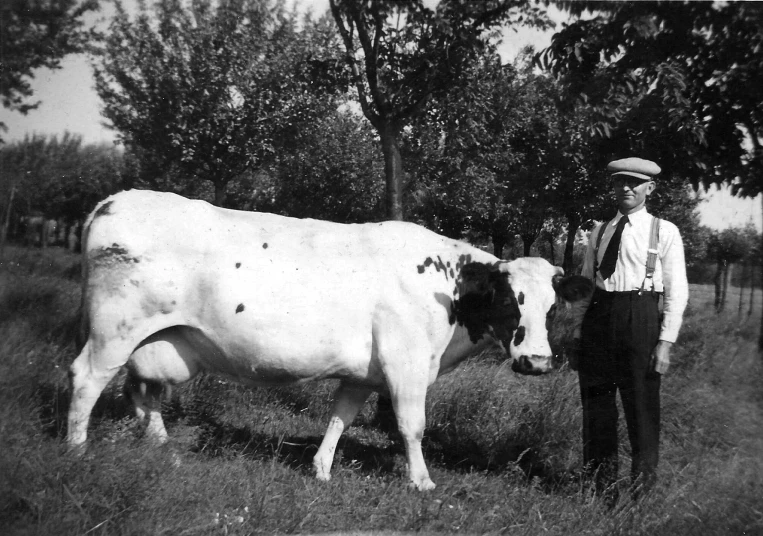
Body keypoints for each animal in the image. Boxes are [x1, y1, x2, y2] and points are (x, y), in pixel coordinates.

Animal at [67, 189, 592, 490]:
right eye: (508, 300)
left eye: (552, 307)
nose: (537, 362)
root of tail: (115, 199)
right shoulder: (405, 364)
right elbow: (412, 427)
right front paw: (421, 482)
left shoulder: (362, 372)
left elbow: (340, 418)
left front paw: (320, 469)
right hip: (114, 330)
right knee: (86, 379)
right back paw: (77, 450)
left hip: (154, 339)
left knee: (141, 388)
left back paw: (159, 443)